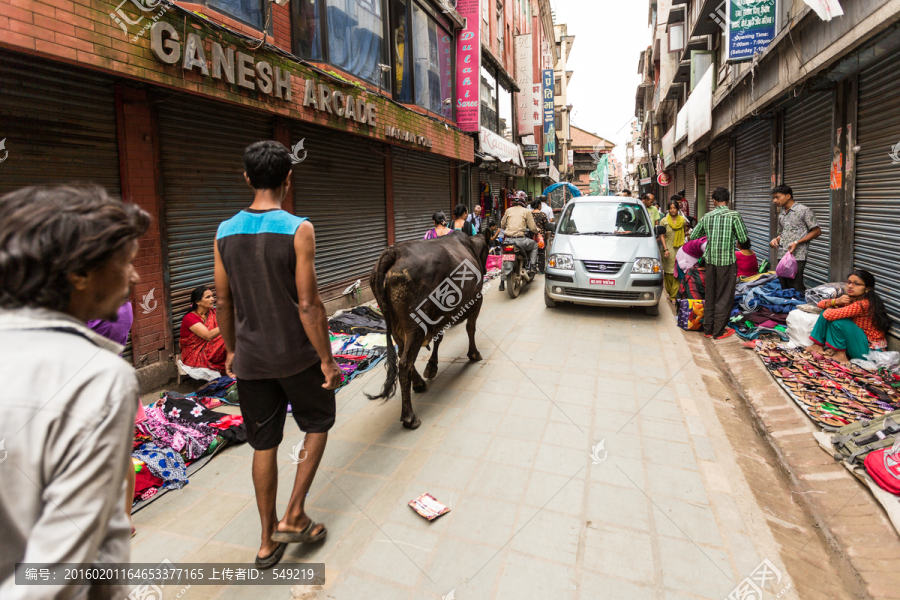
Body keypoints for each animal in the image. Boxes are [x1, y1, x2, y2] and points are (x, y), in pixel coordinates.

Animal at [368, 232, 492, 428]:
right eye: (487, 250)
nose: (486, 270)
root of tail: (394, 251)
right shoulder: (476, 300)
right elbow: (470, 328)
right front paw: (474, 354)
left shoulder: (439, 316)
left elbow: (438, 338)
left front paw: (432, 366)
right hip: (416, 325)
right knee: (405, 362)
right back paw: (409, 416)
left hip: (397, 326)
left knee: (402, 354)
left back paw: (418, 383)